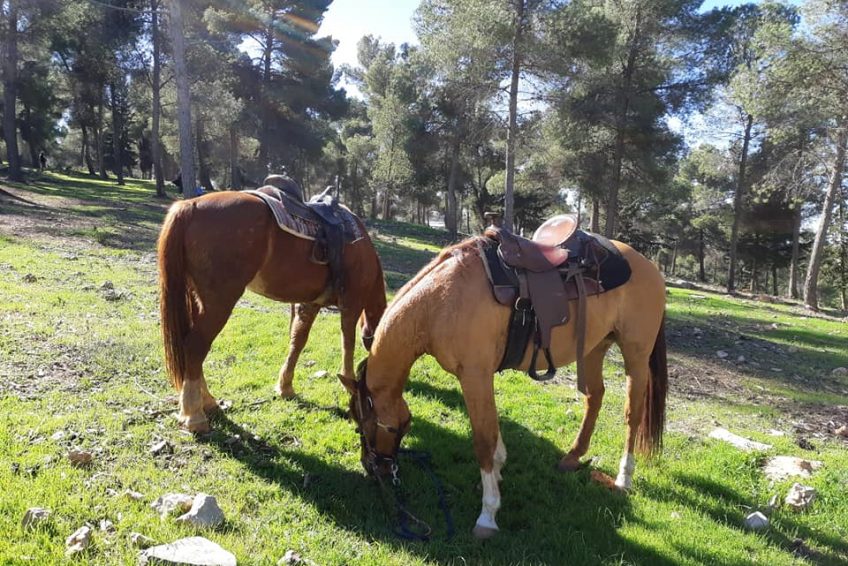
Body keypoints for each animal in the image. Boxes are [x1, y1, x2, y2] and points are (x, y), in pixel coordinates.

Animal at [158, 191, 387, 434]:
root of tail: (190, 205)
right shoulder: (351, 304)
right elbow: (347, 343)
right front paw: (348, 381)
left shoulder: (310, 304)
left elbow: (297, 341)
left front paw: (285, 386)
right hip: (219, 302)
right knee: (195, 346)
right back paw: (194, 415)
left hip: (196, 299)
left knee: (190, 347)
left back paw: (207, 401)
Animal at [338, 232, 667, 539]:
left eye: (366, 425)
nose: (373, 468)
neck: (441, 302)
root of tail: (649, 266)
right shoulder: (481, 377)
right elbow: (494, 435)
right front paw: (496, 475)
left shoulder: (475, 376)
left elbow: (484, 441)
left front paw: (488, 514)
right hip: (594, 347)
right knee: (594, 396)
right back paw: (573, 456)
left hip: (635, 355)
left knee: (632, 413)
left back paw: (623, 478)